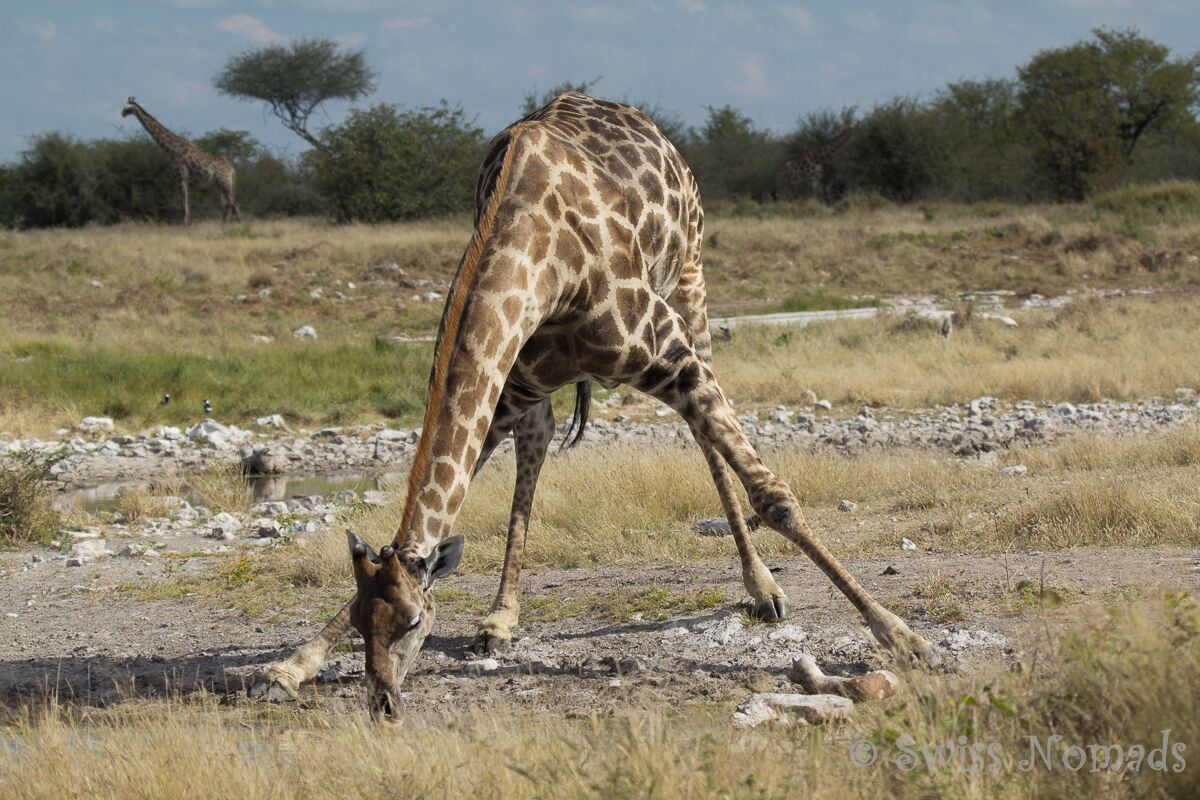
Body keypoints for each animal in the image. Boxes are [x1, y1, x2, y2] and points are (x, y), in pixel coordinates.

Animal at [262, 93, 936, 719]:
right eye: (363, 625)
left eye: (412, 623)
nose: (382, 702)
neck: (540, 254)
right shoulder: (509, 386)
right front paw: (293, 665)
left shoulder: (669, 356)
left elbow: (774, 495)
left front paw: (902, 636)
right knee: (541, 445)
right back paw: (501, 617)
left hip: (689, 285)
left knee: (706, 438)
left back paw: (763, 589)